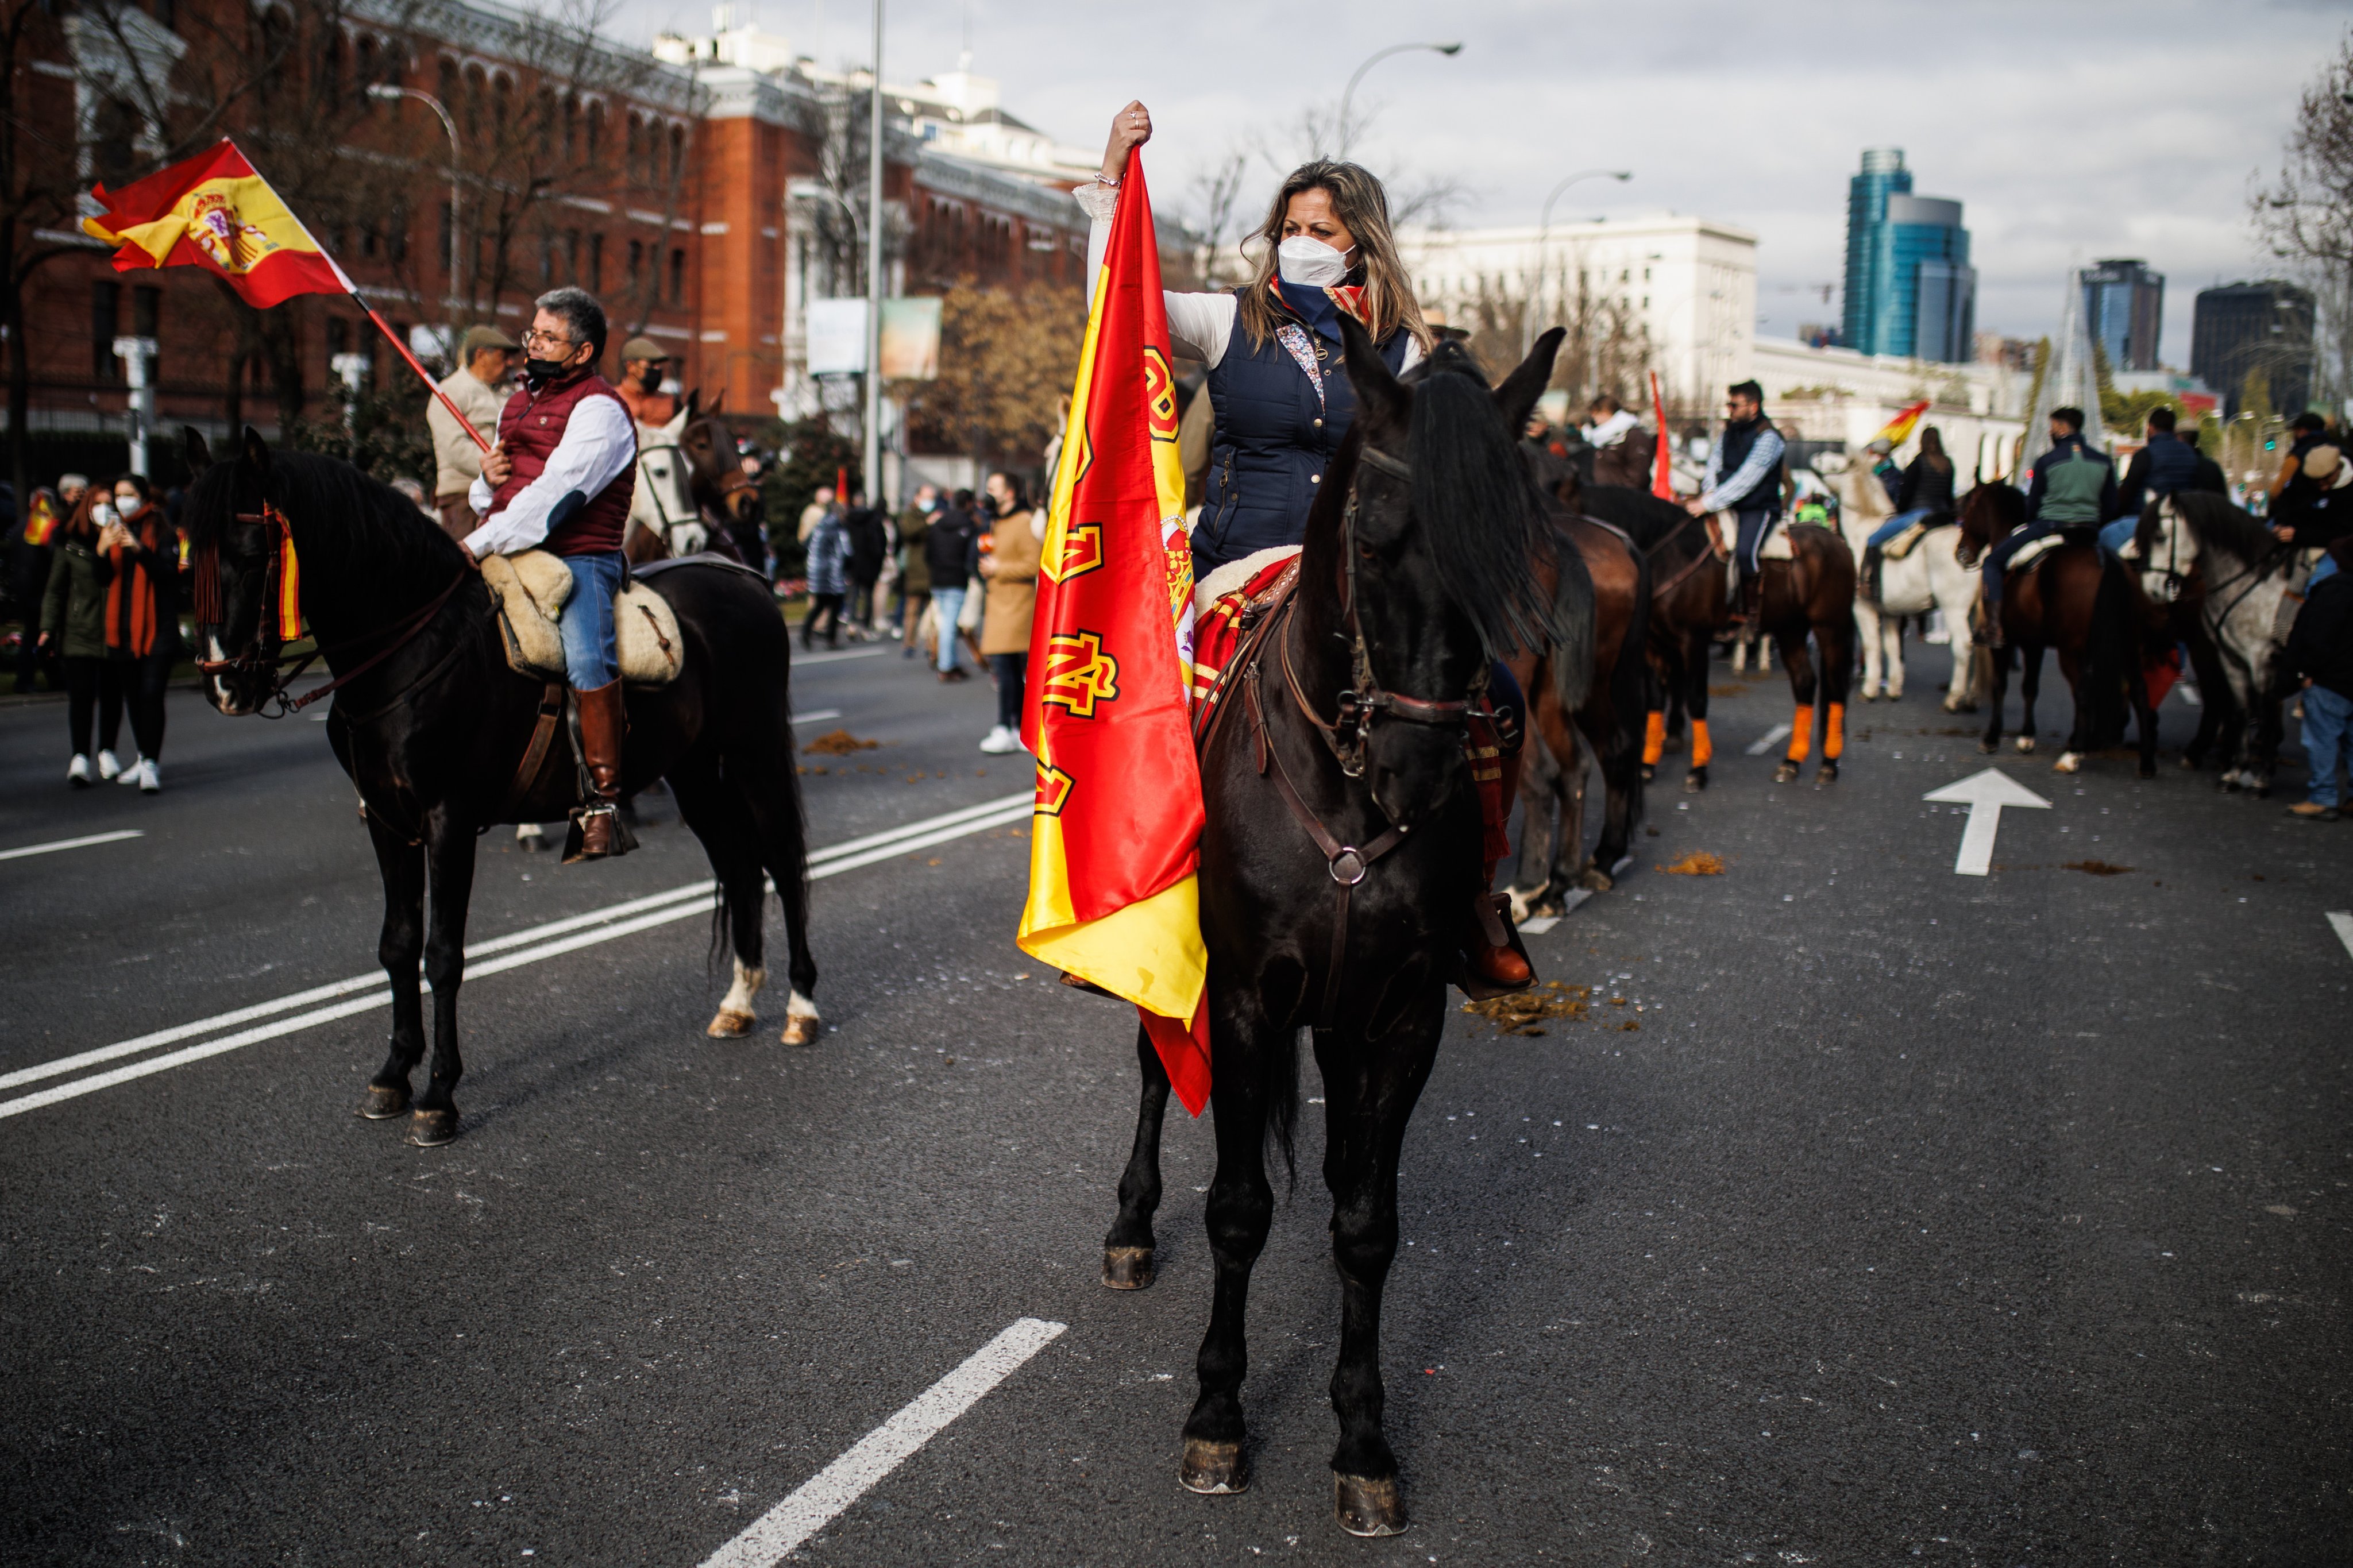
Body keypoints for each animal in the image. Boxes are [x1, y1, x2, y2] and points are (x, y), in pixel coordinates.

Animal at [179, 423, 819, 1147]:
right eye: (189, 562)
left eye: (252, 553)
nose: (226, 687)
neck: (413, 647)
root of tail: (742, 576)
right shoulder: (387, 820)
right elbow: (398, 944)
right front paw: (393, 1075)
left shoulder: (448, 822)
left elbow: (442, 955)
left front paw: (439, 1097)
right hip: (694, 773)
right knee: (739, 866)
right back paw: (738, 1002)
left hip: (754, 755)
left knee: (782, 864)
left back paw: (800, 1007)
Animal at [1096, 324, 1581, 1542]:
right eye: (1371, 535)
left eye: (1508, 554)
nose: (1422, 768)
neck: (1349, 789)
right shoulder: (1242, 999)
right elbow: (1237, 1210)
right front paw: (1218, 1419)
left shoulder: (1402, 1015)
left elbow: (1367, 1224)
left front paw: (1363, 1440)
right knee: (1151, 1071)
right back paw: (1130, 1230)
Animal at [1816, 451, 1986, 715]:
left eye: (1836, 463)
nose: (1816, 455)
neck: (1862, 529)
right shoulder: (1891, 612)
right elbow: (1892, 647)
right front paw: (1894, 689)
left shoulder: (1863, 608)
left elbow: (1872, 646)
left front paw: (1870, 690)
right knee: (1980, 649)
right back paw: (1972, 698)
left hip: (1955, 610)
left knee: (1963, 647)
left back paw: (1954, 698)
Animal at [1957, 479, 2155, 771]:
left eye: (1970, 506)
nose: (1961, 553)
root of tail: (2105, 560)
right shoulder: (2033, 644)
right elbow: (2030, 687)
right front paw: (2026, 738)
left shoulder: (2006, 644)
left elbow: (2000, 686)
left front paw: (1992, 738)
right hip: (2128, 646)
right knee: (2139, 692)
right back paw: (2146, 763)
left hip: (2071, 651)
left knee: (2083, 692)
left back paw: (2073, 755)